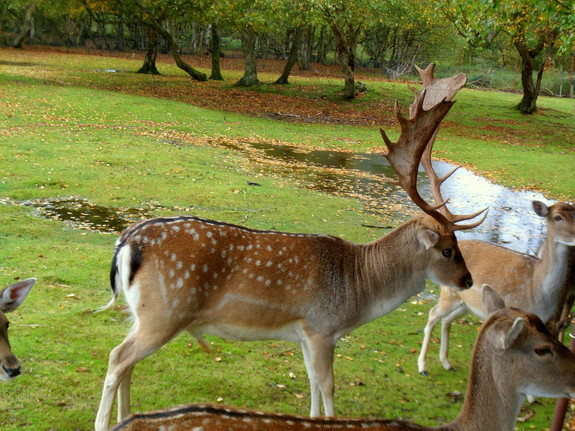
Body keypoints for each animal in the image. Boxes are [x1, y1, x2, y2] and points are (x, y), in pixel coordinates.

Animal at [94, 64, 486, 431]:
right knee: (117, 358)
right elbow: (327, 387)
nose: (468, 281)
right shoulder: (321, 327)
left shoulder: (303, 334)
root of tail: (128, 242)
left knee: (127, 362)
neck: (358, 289)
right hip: (165, 311)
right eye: (447, 250)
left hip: (142, 313)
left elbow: (311, 384)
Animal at [416, 141, 575, 374]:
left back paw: (447, 363)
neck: (538, 293)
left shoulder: (548, 324)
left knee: (447, 320)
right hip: (449, 293)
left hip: (466, 303)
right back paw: (423, 365)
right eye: (557, 217)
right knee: (433, 315)